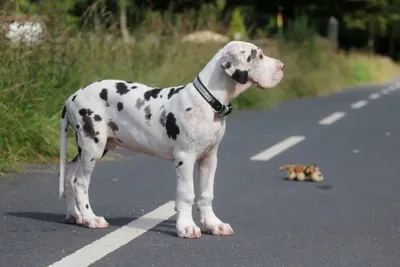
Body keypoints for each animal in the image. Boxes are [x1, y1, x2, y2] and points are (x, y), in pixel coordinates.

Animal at [58, 40, 284, 240]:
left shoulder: (209, 158)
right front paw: (187, 227)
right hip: (93, 146)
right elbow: (187, 194)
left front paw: (213, 224)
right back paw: (90, 218)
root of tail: (71, 96)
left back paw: (75, 215)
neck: (208, 101)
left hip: (93, 148)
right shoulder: (185, 157)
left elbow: (206, 194)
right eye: (258, 56)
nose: (283, 66)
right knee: (80, 183)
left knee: (69, 174)